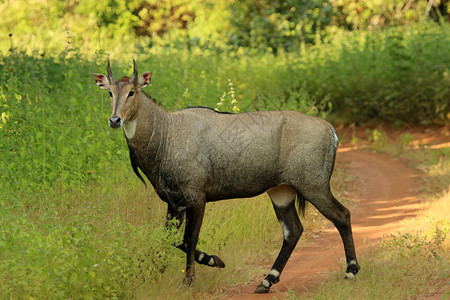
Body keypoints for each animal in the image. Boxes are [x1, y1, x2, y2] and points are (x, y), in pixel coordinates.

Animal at [93, 60, 360, 292]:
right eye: (110, 93)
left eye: (132, 92)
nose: (115, 119)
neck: (165, 135)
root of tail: (332, 131)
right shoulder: (173, 202)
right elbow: (168, 239)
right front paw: (153, 273)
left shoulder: (196, 197)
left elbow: (189, 238)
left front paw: (191, 279)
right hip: (281, 191)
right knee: (292, 231)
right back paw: (266, 281)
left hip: (313, 185)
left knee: (342, 215)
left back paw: (351, 271)